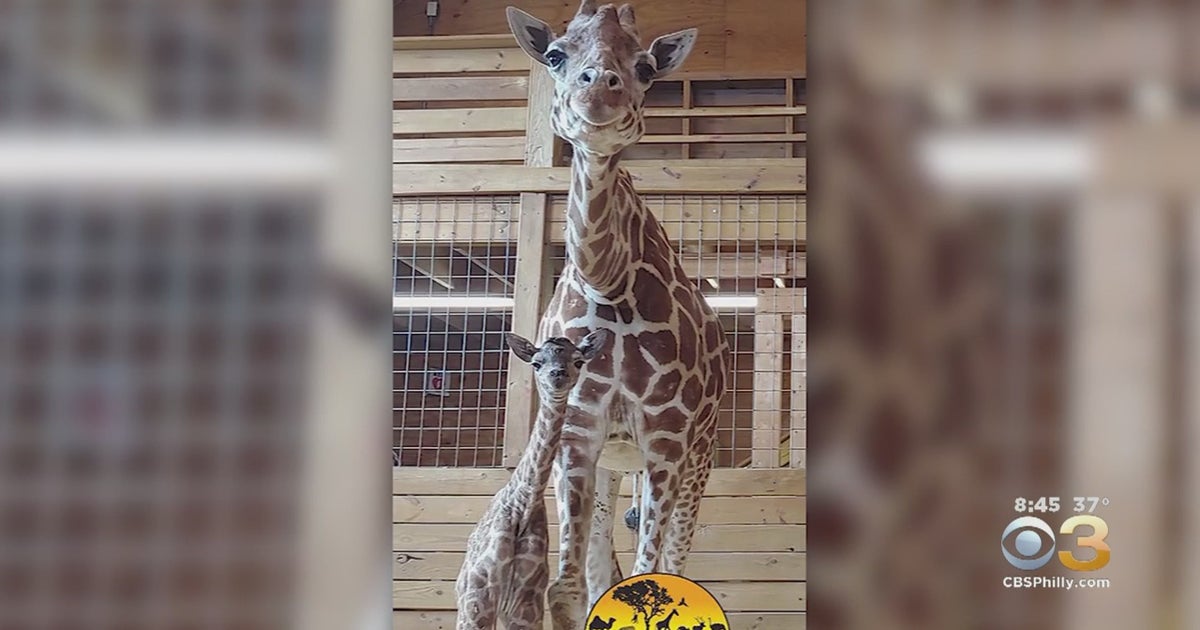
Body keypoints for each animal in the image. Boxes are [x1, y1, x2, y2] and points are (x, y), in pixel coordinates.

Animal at [455, 331, 611, 630]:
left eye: (578, 361)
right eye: (537, 363)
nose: (558, 374)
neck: (523, 505)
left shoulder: (526, 603)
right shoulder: (479, 598)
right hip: (467, 603)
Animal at [506, 2, 729, 629]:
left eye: (646, 67)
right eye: (555, 55)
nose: (598, 90)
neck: (609, 279)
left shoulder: (667, 436)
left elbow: (656, 569)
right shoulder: (579, 434)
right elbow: (569, 587)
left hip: (698, 456)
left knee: (676, 559)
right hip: (613, 462)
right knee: (603, 567)